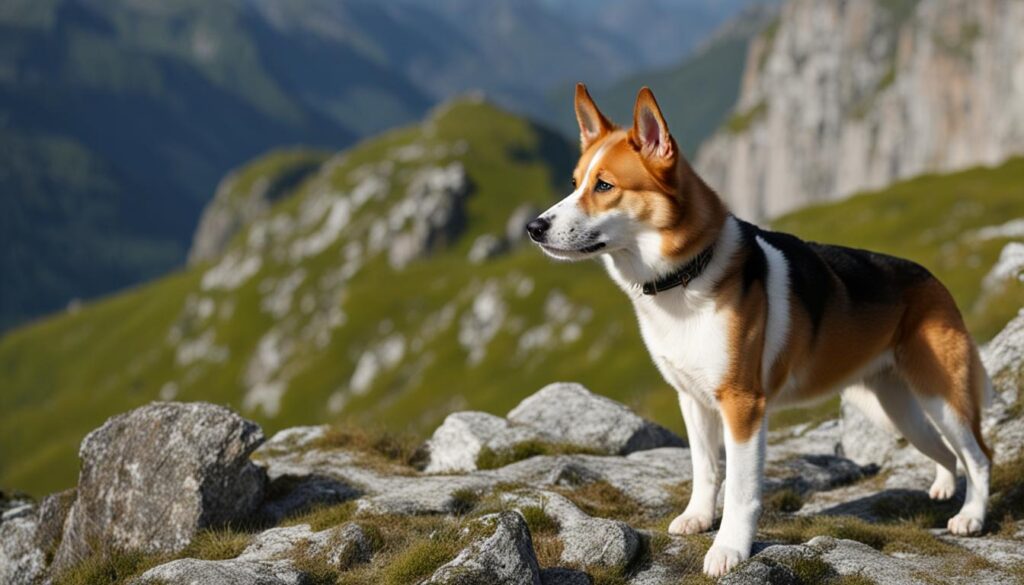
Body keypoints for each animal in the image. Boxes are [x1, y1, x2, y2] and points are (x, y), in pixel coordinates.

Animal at [528, 84, 991, 577]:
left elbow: (740, 487)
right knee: (947, 452)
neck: (687, 276)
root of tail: (932, 280)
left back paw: (971, 517)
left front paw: (729, 549)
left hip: (942, 396)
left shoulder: (743, 404)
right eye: (575, 182)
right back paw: (944, 487)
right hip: (893, 409)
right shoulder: (693, 399)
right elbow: (706, 469)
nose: (534, 227)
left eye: (604, 186)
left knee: (979, 456)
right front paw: (697, 518)